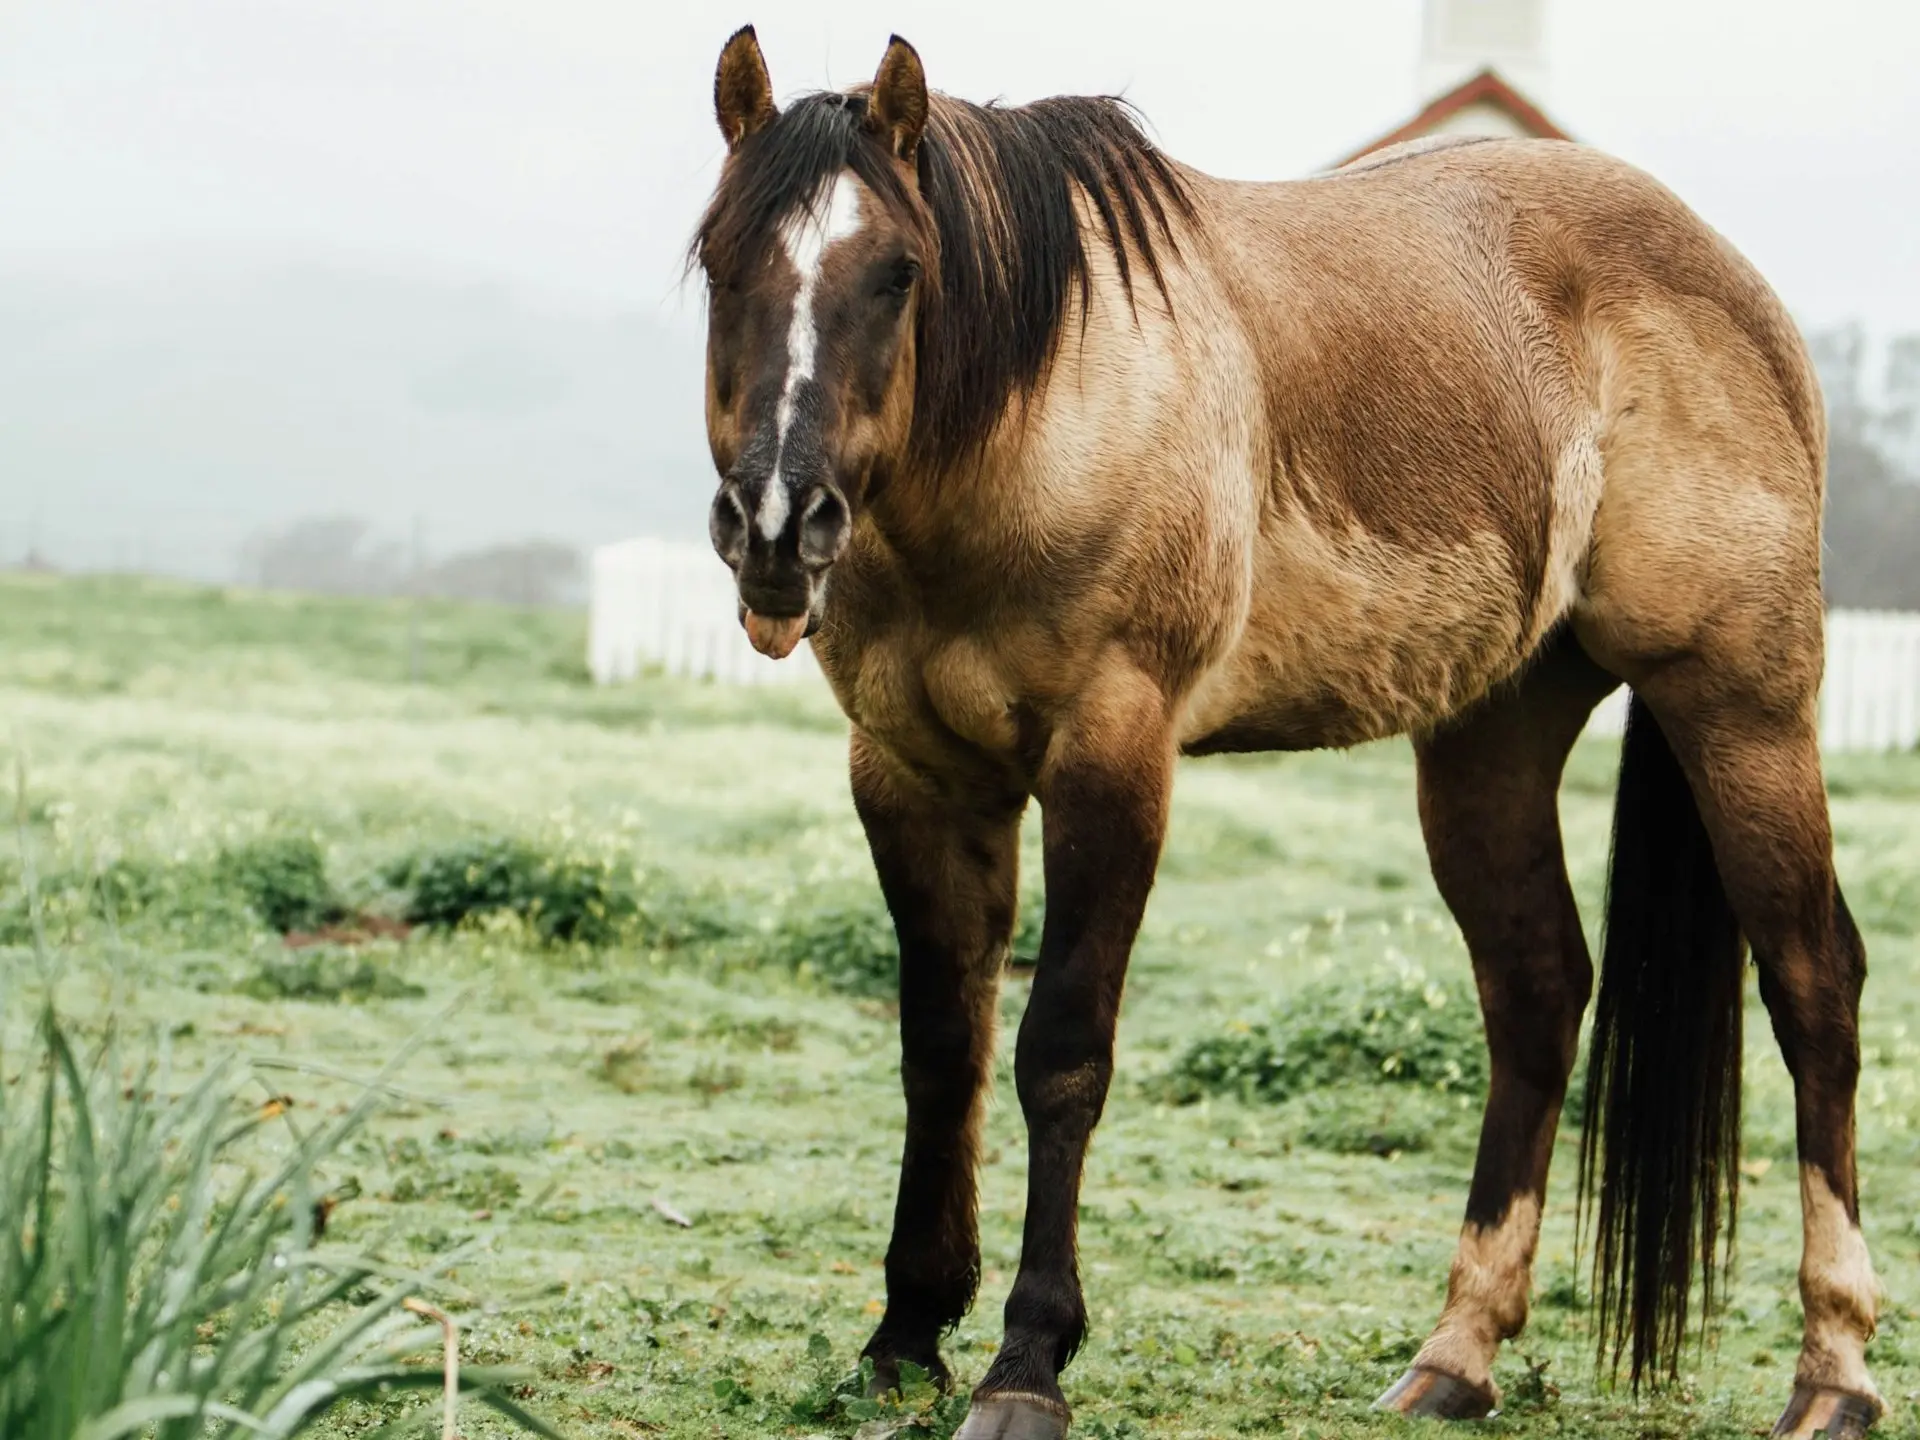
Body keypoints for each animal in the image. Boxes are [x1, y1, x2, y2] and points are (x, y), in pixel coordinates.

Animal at [687, 25, 1873, 1440]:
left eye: (899, 273)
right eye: (720, 259)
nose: (776, 522)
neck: (1036, 413)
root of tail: (1738, 287)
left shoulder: (1111, 760)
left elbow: (1060, 1052)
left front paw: (1027, 1359)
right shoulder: (912, 776)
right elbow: (940, 1049)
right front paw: (905, 1335)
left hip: (1740, 708)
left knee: (1815, 986)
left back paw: (1835, 1373)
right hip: (1491, 741)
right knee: (1536, 994)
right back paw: (1454, 1357)